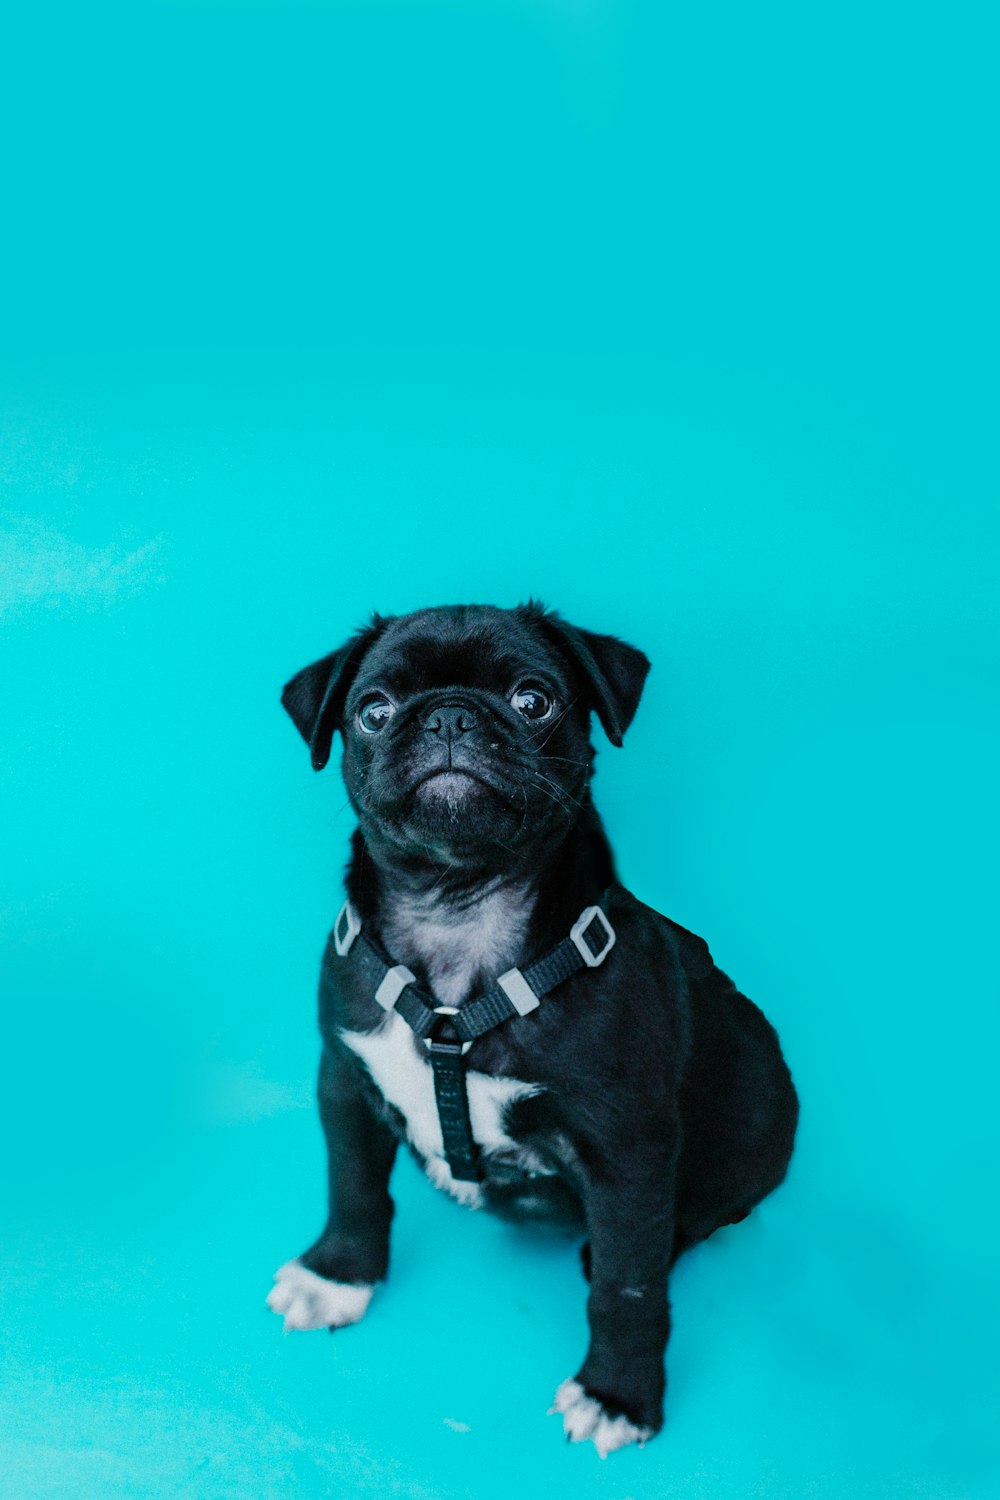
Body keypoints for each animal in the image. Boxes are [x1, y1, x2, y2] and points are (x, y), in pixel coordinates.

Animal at [265, 603, 797, 1458]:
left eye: (532, 701)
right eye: (374, 710)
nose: (448, 716)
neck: (458, 917)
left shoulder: (627, 1157)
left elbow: (628, 1285)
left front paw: (618, 1395)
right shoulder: (344, 1080)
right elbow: (352, 1186)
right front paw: (337, 1275)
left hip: (757, 1117)